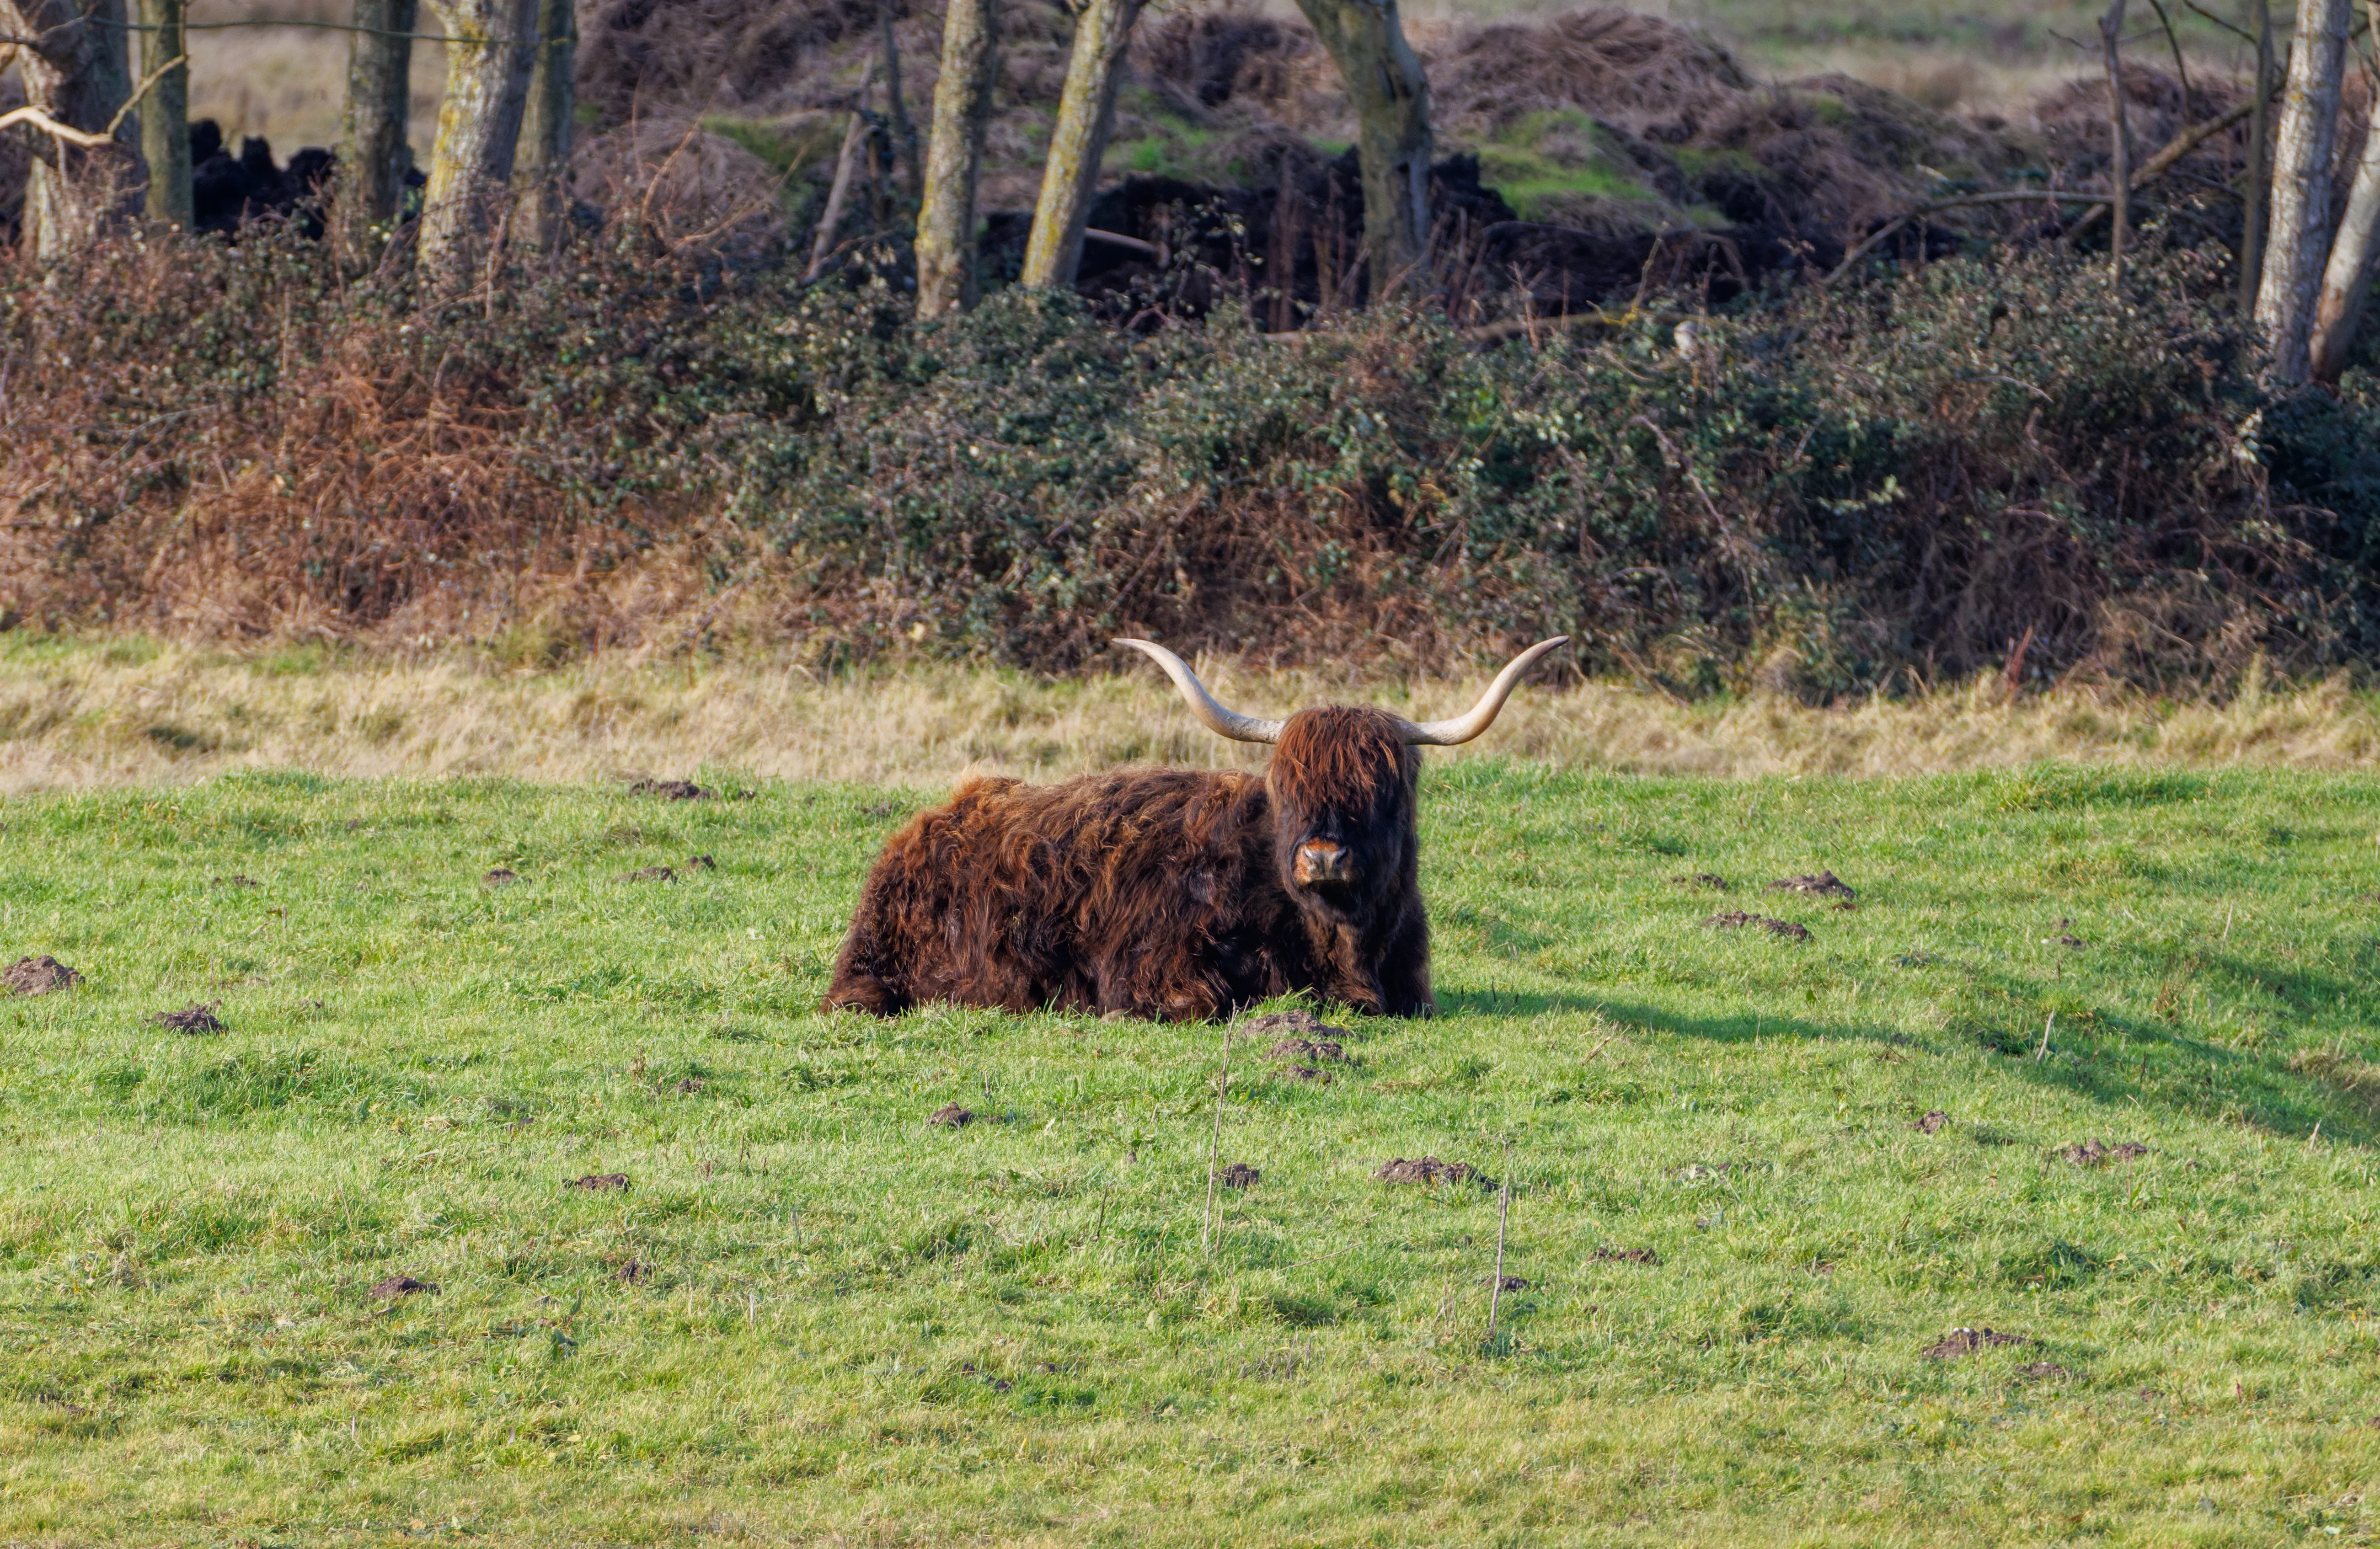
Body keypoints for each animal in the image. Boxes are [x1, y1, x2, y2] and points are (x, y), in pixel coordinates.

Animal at [822, 636, 1568, 1022]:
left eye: (1383, 791)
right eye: (1287, 788)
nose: (1323, 856)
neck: (1341, 941)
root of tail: (932, 820)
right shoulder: (1160, 970)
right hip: (877, 977)